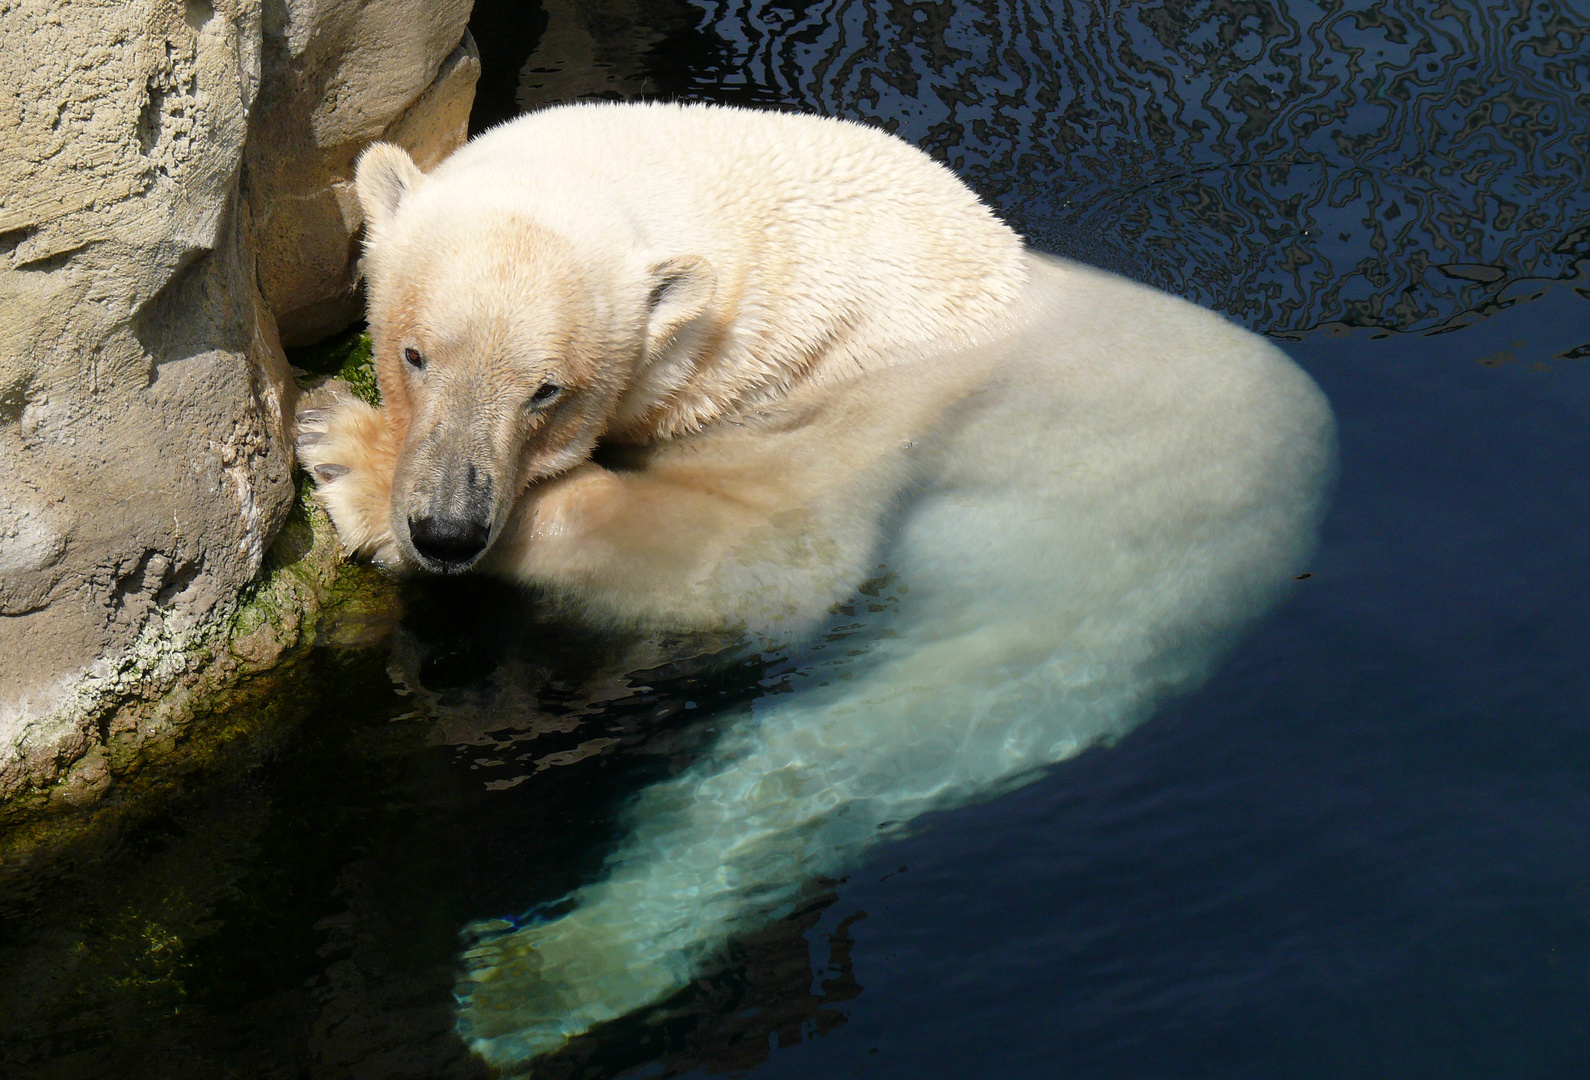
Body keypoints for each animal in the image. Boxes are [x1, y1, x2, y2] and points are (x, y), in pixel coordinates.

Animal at [295, 101, 1329, 1062]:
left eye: (546, 391)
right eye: (415, 353)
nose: (446, 527)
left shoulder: (860, 401)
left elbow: (770, 560)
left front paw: (349, 455)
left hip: (1100, 590)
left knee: (846, 750)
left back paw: (539, 978)